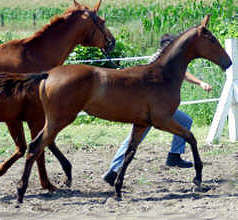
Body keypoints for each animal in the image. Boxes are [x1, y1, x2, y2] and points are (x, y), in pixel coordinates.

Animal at [15, 14, 231, 202]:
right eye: (212, 39)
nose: (228, 62)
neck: (162, 76)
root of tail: (48, 75)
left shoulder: (142, 124)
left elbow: (129, 153)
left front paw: (118, 189)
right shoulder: (163, 120)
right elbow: (191, 137)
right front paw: (198, 179)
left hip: (55, 119)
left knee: (42, 144)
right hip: (60, 118)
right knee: (36, 147)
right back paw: (21, 191)